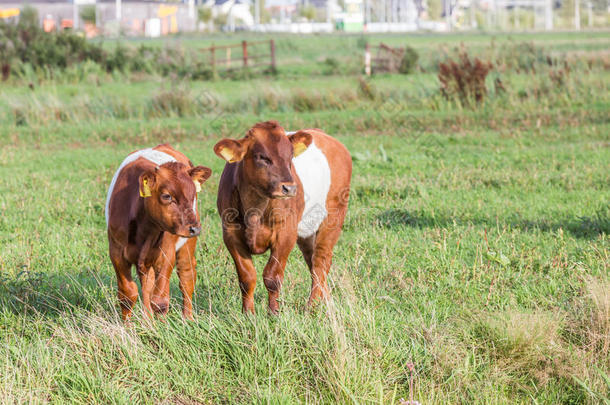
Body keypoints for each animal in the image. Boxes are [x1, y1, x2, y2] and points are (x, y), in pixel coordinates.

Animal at [108, 144, 213, 320]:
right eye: (166, 196)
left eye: (193, 195)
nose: (195, 228)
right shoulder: (116, 253)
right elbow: (127, 295)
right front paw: (128, 325)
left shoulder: (166, 253)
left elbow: (160, 300)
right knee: (147, 285)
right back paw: (148, 320)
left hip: (187, 245)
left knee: (186, 277)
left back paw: (188, 318)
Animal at [213, 120, 350, 312]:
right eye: (262, 157)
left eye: (290, 156)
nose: (289, 188)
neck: (255, 207)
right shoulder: (230, 233)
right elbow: (247, 277)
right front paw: (248, 313)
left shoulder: (285, 233)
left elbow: (272, 277)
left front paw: (274, 312)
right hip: (306, 230)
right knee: (312, 261)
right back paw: (326, 301)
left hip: (334, 216)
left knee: (320, 262)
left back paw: (312, 306)